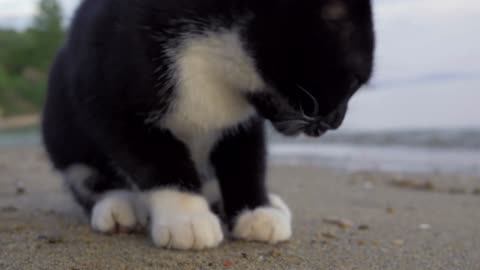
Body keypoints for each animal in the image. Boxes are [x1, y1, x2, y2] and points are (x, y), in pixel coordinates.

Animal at [42, 0, 376, 251]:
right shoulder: (111, 94)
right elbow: (155, 157)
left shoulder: (244, 119)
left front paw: (256, 210)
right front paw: (186, 216)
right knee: (85, 173)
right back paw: (116, 204)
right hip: (61, 121)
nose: (336, 122)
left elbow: (246, 158)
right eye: (354, 82)